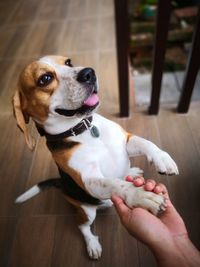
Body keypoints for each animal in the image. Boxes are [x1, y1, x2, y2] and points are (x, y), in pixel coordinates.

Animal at [12, 55, 178, 260]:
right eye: (44, 79)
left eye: (68, 62)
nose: (88, 73)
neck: (84, 129)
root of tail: (61, 183)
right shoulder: (89, 180)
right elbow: (116, 184)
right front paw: (140, 195)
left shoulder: (125, 140)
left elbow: (145, 143)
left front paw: (162, 158)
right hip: (86, 211)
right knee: (82, 227)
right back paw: (92, 244)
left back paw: (132, 171)